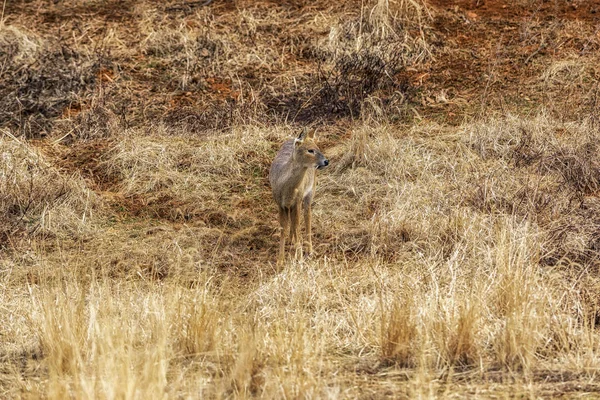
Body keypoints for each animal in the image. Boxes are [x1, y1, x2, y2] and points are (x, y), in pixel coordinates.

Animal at [270, 129, 330, 266]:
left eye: (318, 148)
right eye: (310, 150)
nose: (326, 161)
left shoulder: (297, 200)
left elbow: (297, 226)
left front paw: (299, 257)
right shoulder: (280, 203)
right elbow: (284, 228)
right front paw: (280, 260)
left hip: (310, 192)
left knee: (307, 217)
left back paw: (309, 249)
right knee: (294, 222)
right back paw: (291, 240)